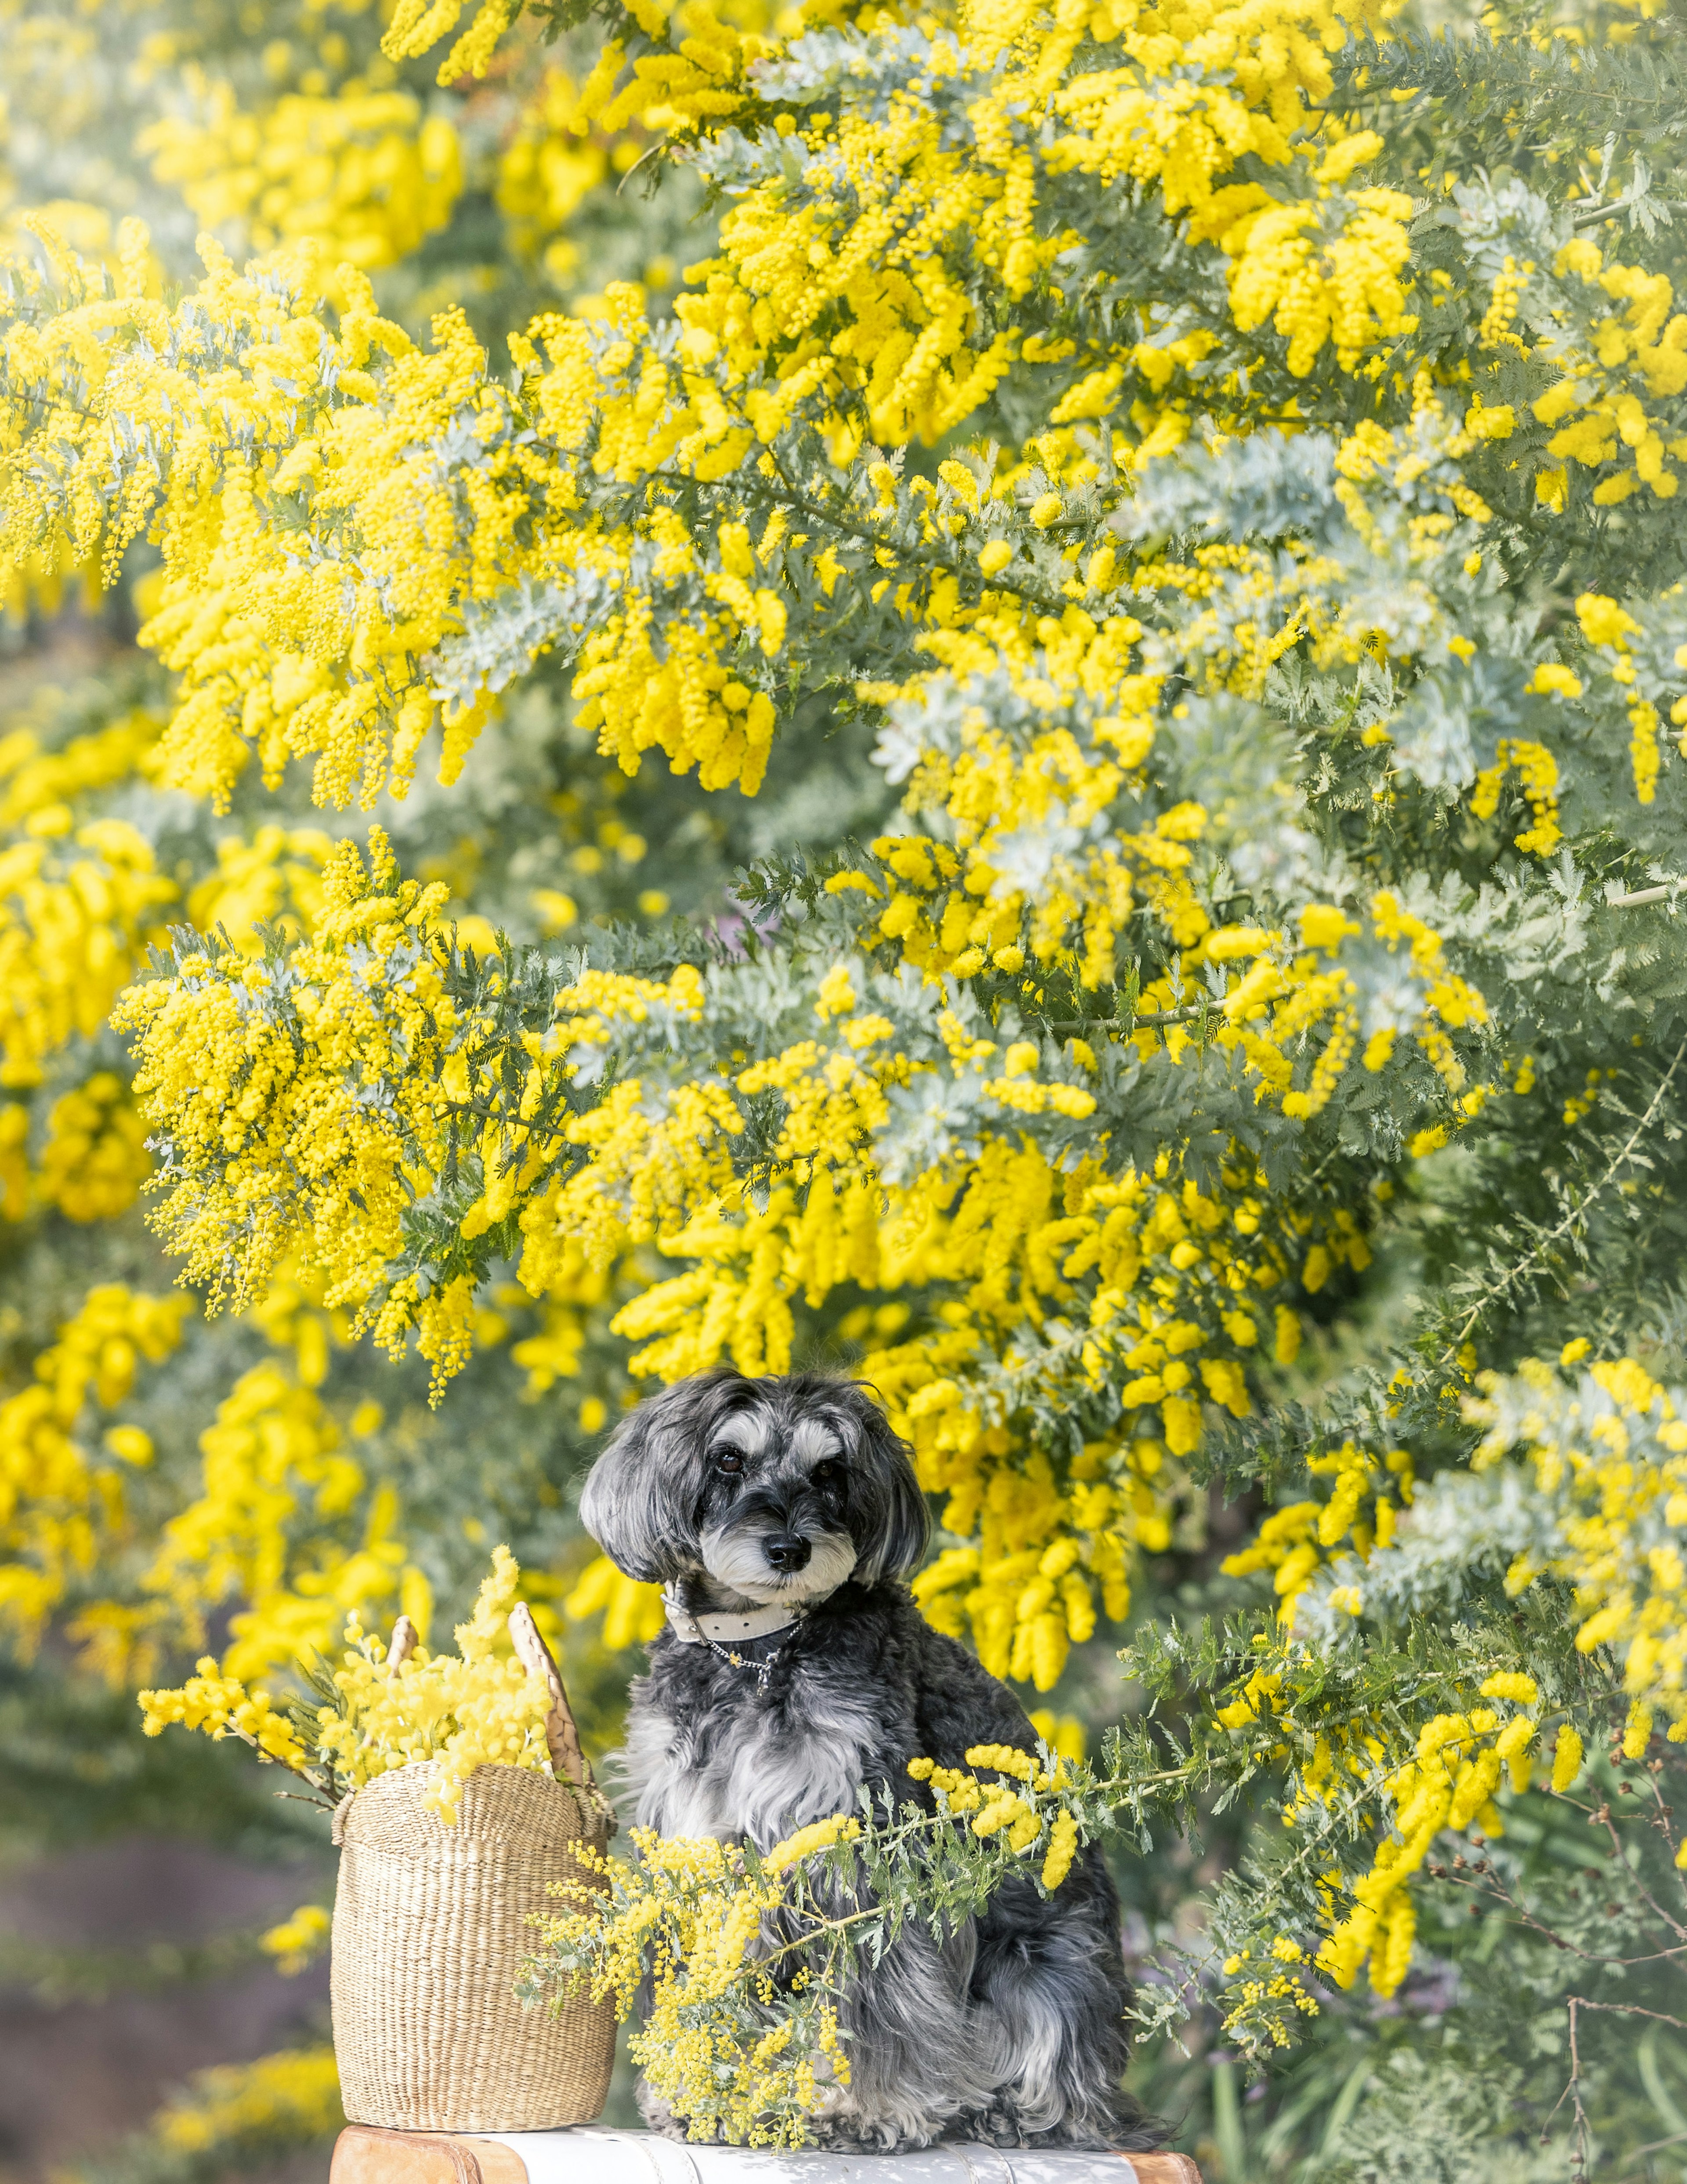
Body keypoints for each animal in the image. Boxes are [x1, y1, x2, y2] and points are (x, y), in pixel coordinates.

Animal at [580, 1363, 1161, 2149]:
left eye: (831, 1470)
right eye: (728, 1458)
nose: (789, 1549)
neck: (758, 1650)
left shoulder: (857, 1849)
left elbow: (877, 2001)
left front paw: (867, 2111)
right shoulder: (705, 1848)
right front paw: (704, 2096)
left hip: (1044, 1969)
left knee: (1068, 2082)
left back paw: (1005, 2111)